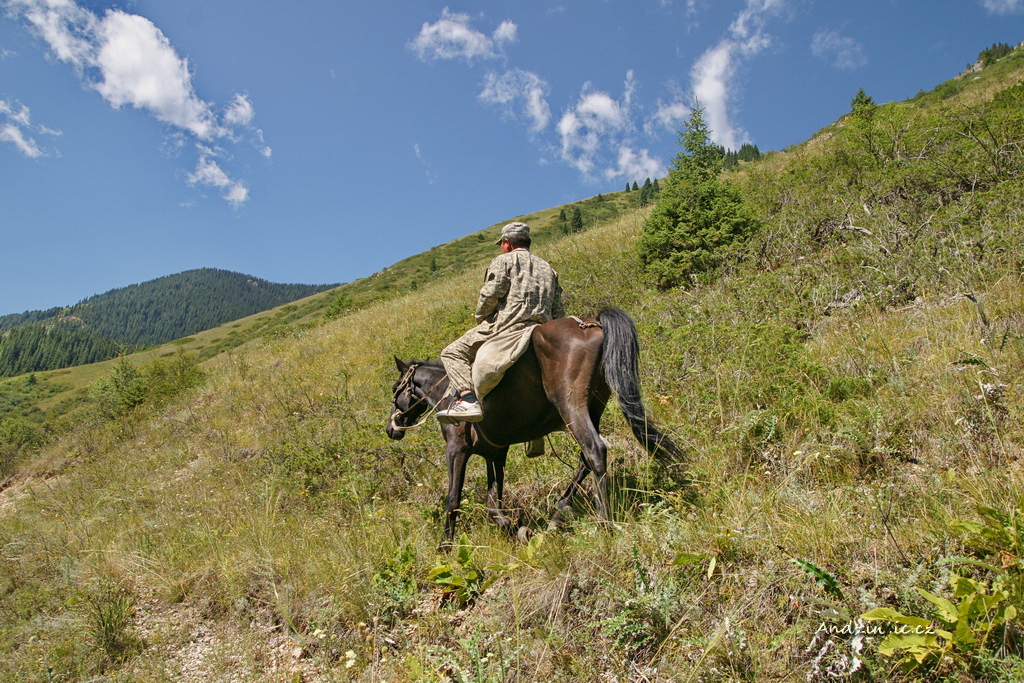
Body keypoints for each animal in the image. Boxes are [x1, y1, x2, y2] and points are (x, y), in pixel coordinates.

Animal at [385, 307, 681, 547]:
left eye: (395, 389)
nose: (391, 429)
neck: (447, 392)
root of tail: (591, 323)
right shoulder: (495, 453)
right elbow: (493, 503)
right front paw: (515, 530)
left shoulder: (456, 450)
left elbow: (453, 500)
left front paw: (445, 547)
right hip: (595, 404)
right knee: (585, 459)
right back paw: (557, 516)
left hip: (570, 403)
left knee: (595, 451)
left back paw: (603, 526)